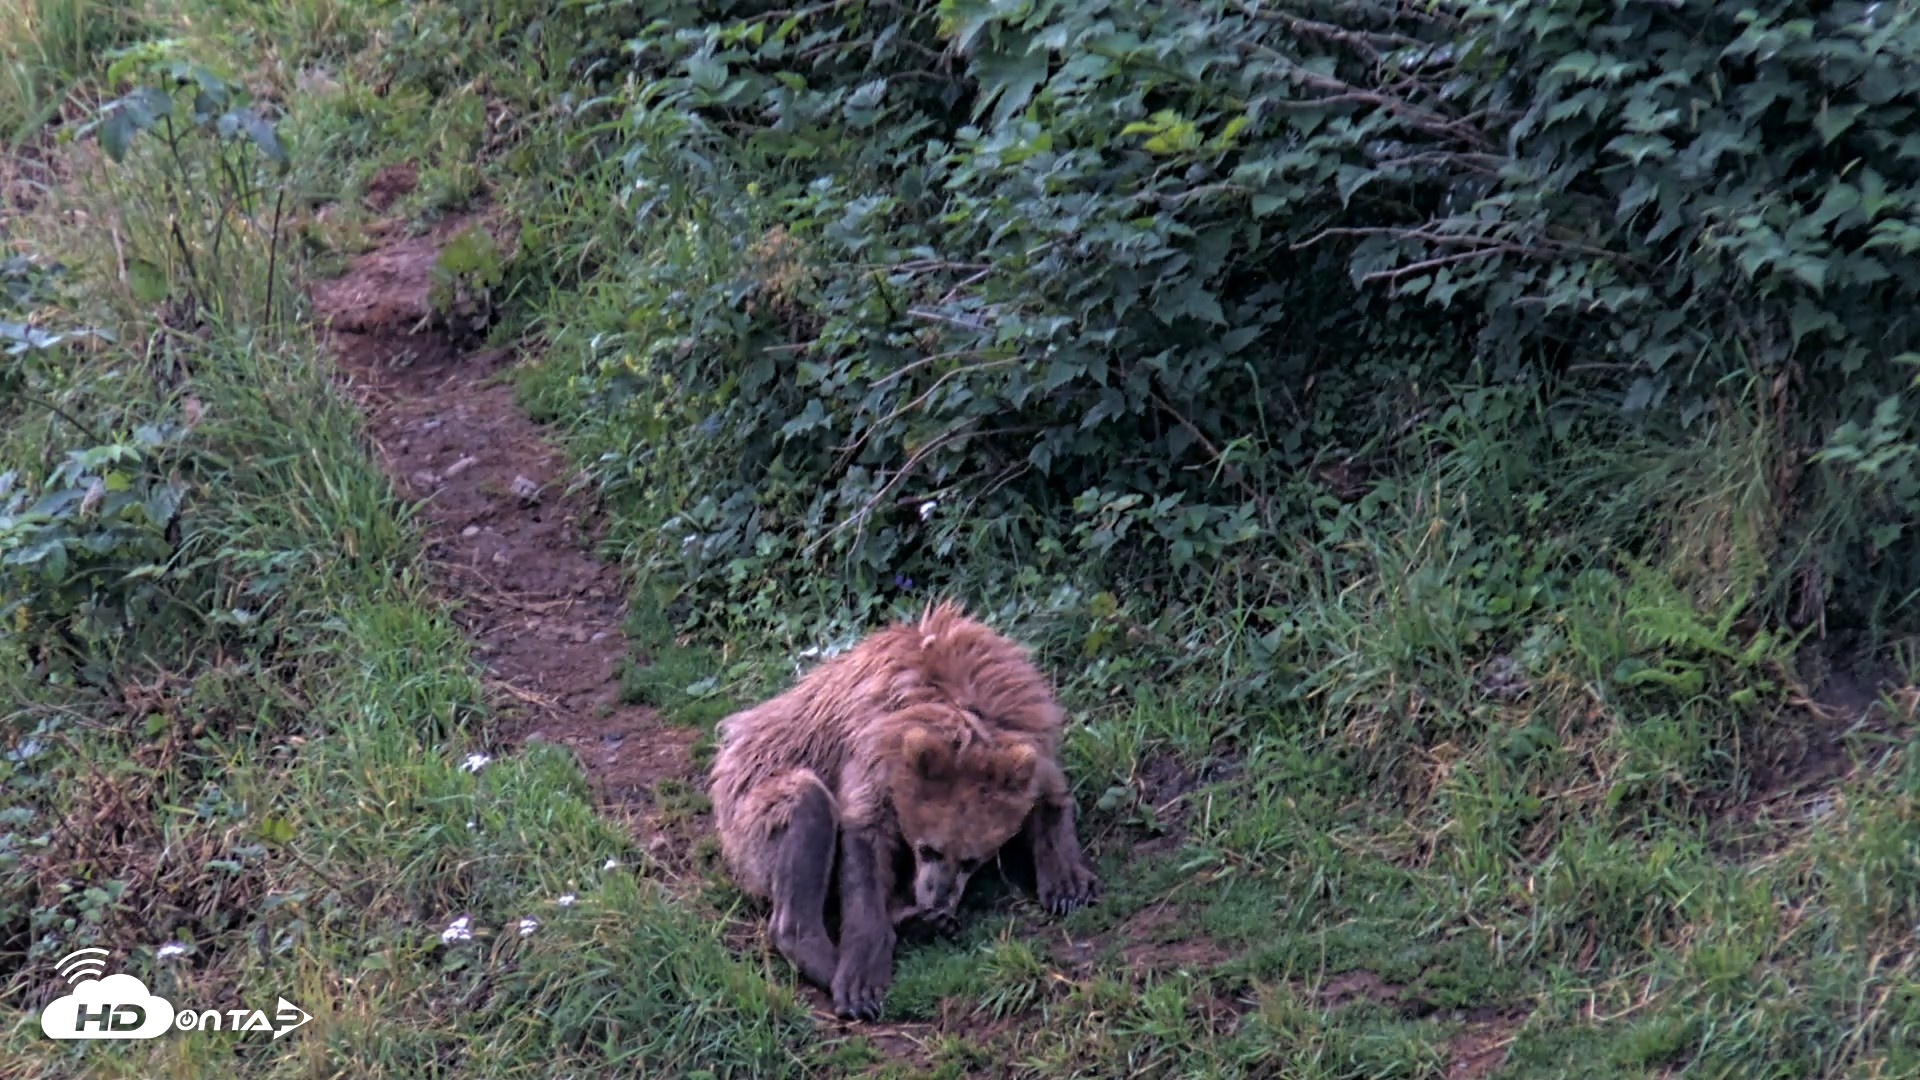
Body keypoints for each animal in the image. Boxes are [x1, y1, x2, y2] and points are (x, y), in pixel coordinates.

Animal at [706, 599, 1101, 1019]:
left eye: (971, 860)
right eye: (928, 848)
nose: (937, 897)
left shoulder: (1029, 733)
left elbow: (1050, 798)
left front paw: (1068, 885)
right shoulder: (872, 750)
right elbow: (864, 845)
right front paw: (861, 980)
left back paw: (919, 921)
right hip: (748, 806)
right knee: (805, 803)